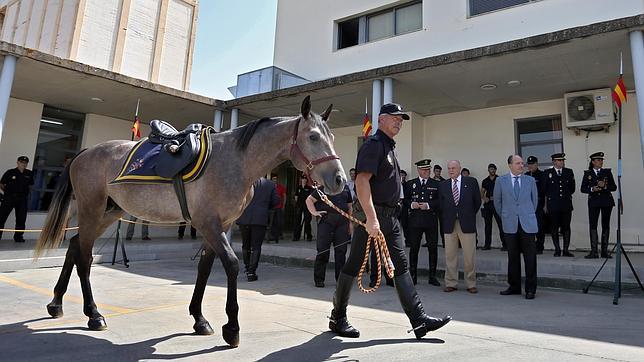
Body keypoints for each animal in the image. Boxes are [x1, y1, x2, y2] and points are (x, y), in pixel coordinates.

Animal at [35, 96, 348, 348]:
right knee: (85, 256)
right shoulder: (209, 223)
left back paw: (56, 303)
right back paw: (93, 313)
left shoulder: (219, 226)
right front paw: (231, 328)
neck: (235, 160)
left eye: (332, 137)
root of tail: (84, 152)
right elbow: (232, 264)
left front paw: (199, 319)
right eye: (313, 137)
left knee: (75, 246)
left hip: (109, 212)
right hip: (92, 209)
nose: (339, 180)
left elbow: (205, 269)